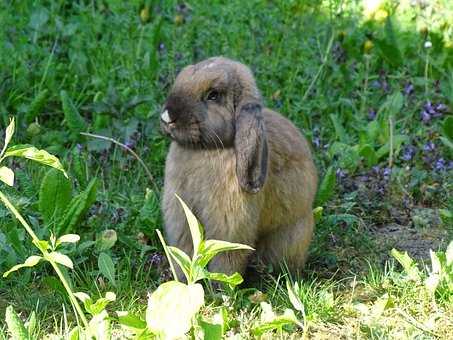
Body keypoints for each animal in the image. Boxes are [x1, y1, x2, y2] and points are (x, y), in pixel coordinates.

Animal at [161, 55, 316, 278]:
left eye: (213, 95)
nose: (167, 116)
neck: (205, 150)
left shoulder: (229, 227)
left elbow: (225, 261)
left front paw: (221, 286)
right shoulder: (181, 217)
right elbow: (185, 251)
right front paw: (183, 281)